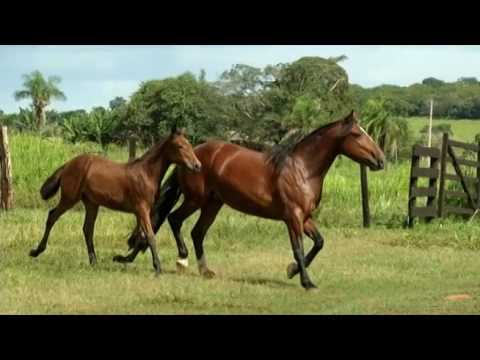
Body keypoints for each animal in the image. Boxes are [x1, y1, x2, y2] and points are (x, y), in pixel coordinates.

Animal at [28, 125, 201, 274]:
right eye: (180, 146)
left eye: (189, 144)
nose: (197, 165)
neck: (146, 173)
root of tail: (69, 164)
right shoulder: (142, 209)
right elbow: (150, 236)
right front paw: (158, 267)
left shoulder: (141, 212)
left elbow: (142, 236)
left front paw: (122, 258)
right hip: (70, 198)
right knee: (52, 216)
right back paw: (36, 251)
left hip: (91, 203)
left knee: (87, 229)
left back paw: (94, 262)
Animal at [121, 111, 386, 288]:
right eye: (356, 134)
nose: (381, 160)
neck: (302, 170)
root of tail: (192, 156)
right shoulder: (293, 217)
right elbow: (299, 248)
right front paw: (306, 281)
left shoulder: (305, 217)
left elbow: (319, 242)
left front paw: (291, 271)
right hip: (196, 199)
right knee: (175, 220)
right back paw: (182, 260)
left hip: (213, 204)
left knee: (197, 232)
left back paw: (206, 270)